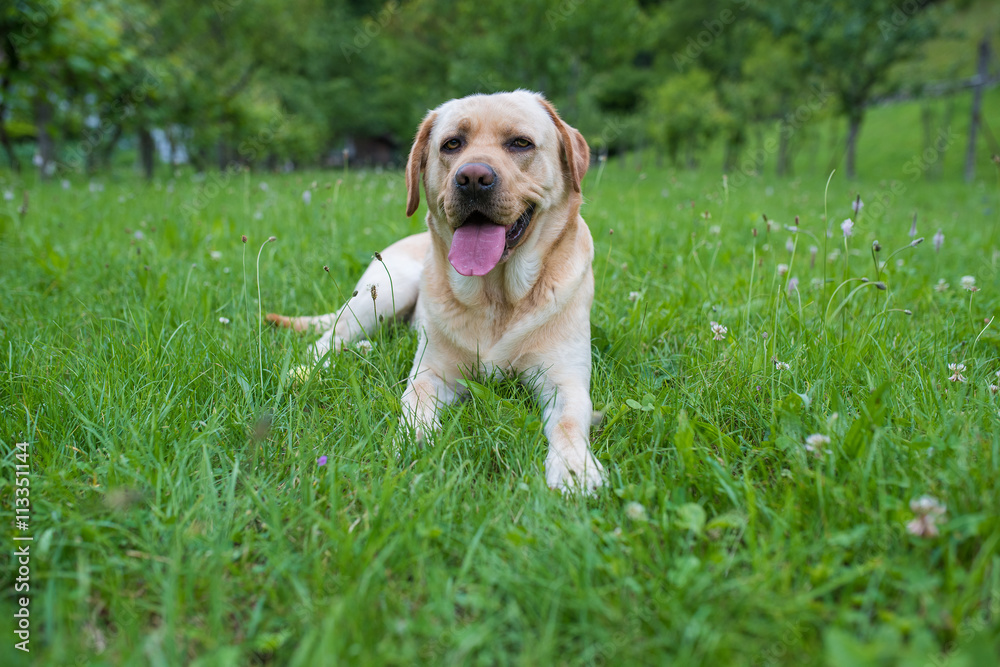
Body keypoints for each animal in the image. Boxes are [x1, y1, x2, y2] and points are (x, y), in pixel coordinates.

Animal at [268, 91, 600, 494]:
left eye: (521, 143)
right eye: (452, 144)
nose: (473, 178)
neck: (496, 298)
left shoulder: (565, 380)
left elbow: (569, 421)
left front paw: (573, 469)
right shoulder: (431, 373)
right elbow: (415, 404)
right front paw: (411, 442)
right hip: (386, 293)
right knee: (328, 338)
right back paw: (308, 369)